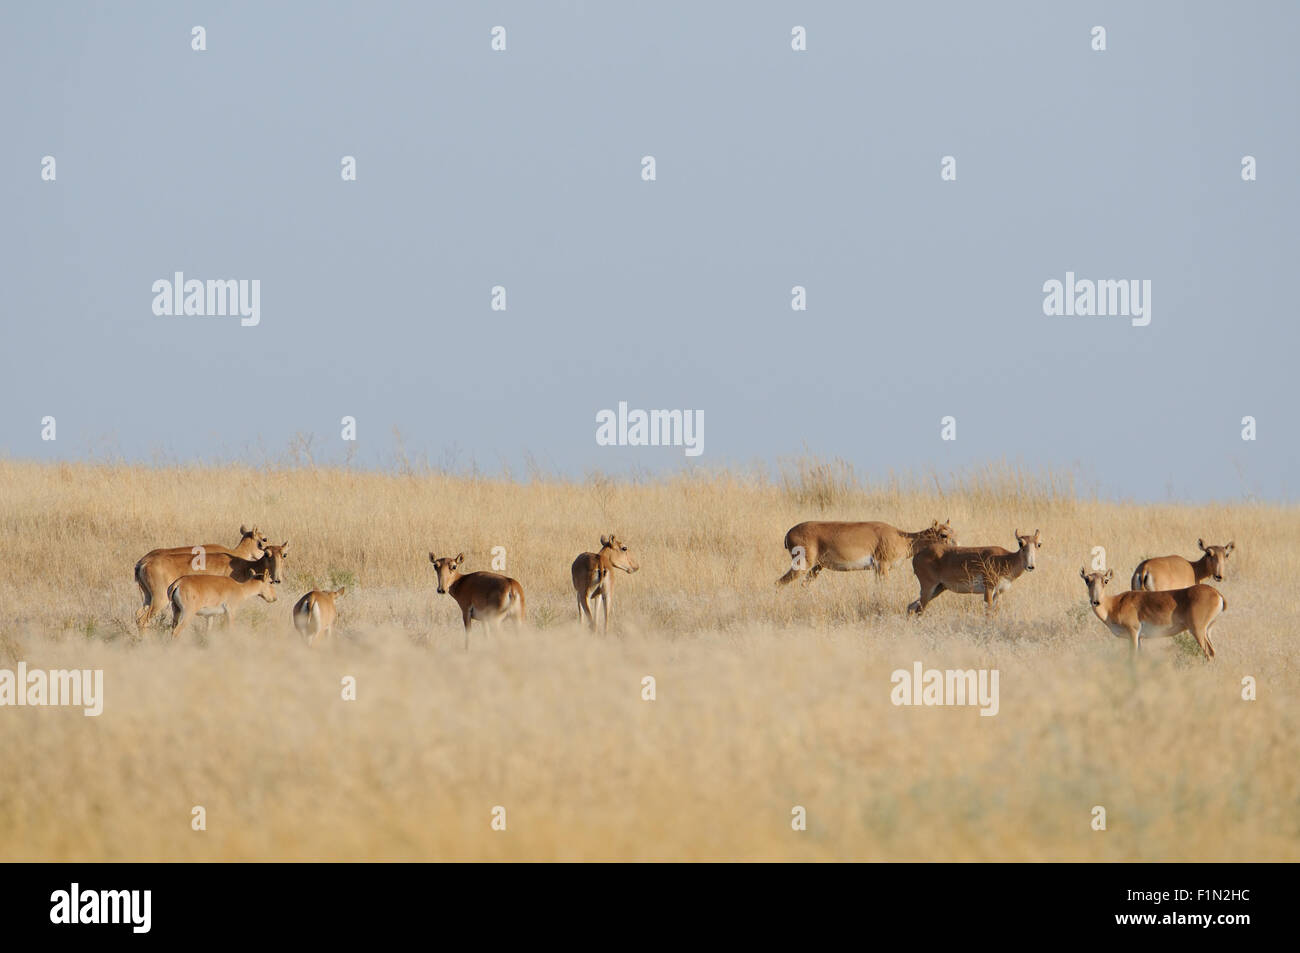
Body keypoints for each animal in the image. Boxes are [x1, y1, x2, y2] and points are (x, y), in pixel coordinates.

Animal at [134, 538, 289, 629]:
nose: (277, 579)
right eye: (267, 554)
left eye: (284, 554)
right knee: (143, 620)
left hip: (148, 598)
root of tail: (142, 564)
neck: (242, 565)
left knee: (138, 615)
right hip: (160, 600)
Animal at [769, 520, 956, 587]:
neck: (904, 538)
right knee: (778, 583)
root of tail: (789, 533)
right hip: (801, 566)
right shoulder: (883, 567)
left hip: (816, 568)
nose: (957, 545)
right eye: (943, 534)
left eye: (953, 531)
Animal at [904, 527, 1045, 616]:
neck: (1005, 559)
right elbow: (988, 613)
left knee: (911, 607)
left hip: (938, 589)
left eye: (1039, 544)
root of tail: (918, 555)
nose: (1030, 566)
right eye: (1020, 543)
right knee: (918, 610)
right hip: (928, 588)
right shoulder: (988, 589)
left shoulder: (999, 592)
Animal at [1081, 569, 1222, 657]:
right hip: (1207, 630)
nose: (1096, 601)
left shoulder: (1133, 633)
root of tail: (1216, 593)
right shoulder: (1139, 638)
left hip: (1197, 630)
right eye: (1087, 580)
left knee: (1209, 652)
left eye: (1105, 580)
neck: (1114, 604)